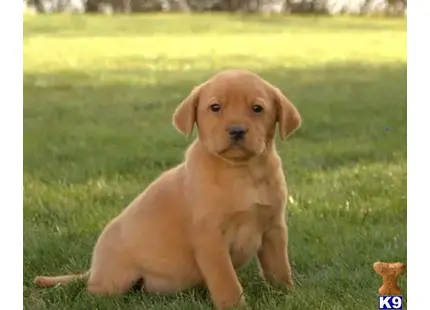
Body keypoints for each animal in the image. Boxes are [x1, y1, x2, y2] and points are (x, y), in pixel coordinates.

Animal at [33, 69, 302, 308]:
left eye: (257, 109)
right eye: (215, 107)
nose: (237, 130)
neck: (241, 172)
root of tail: (93, 269)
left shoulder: (274, 230)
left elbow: (279, 268)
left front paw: (287, 296)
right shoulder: (211, 240)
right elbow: (227, 282)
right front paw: (235, 306)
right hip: (114, 280)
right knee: (95, 292)